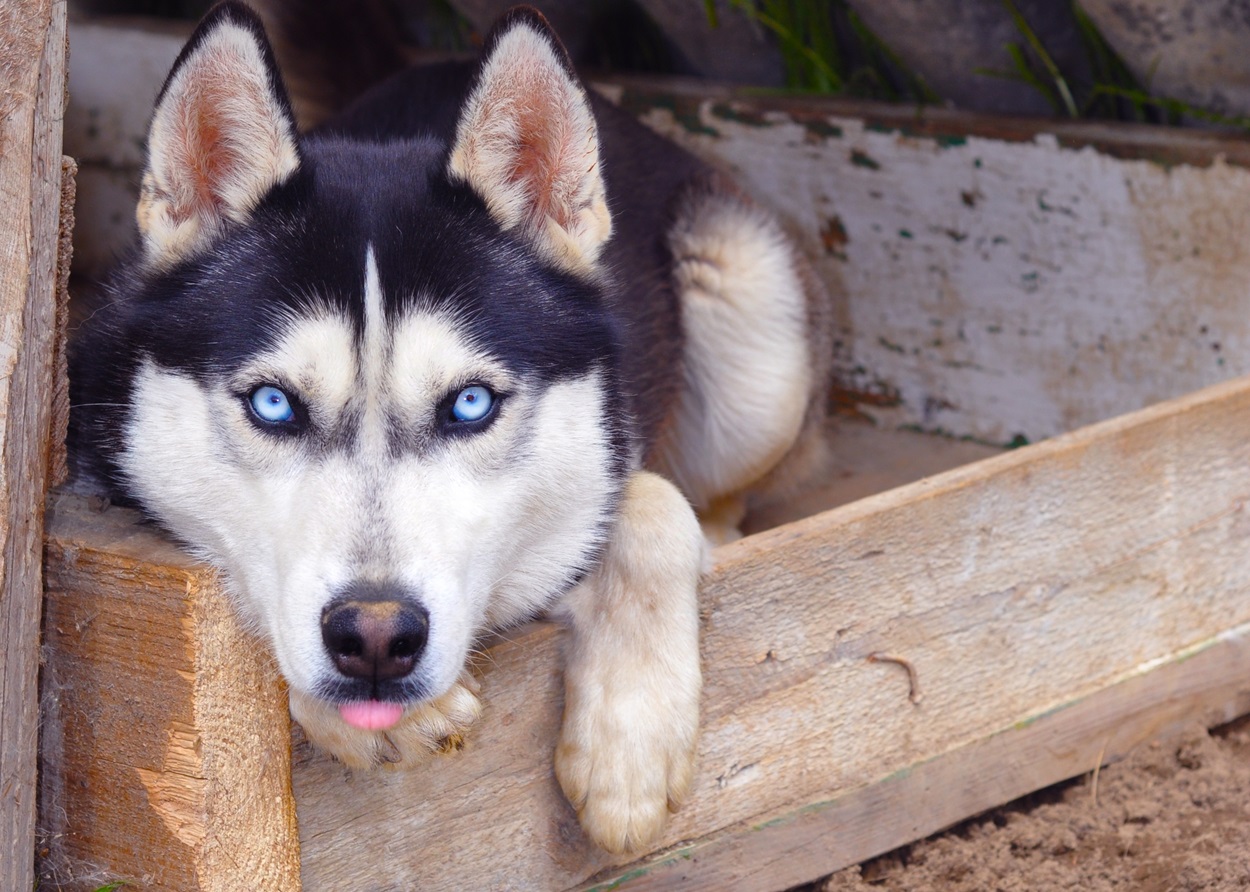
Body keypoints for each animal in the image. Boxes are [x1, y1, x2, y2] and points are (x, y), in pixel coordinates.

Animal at [68, 0, 830, 849]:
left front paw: (630, 743)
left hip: (754, 340)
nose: (375, 637)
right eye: (274, 404)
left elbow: (654, 504)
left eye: (470, 404)